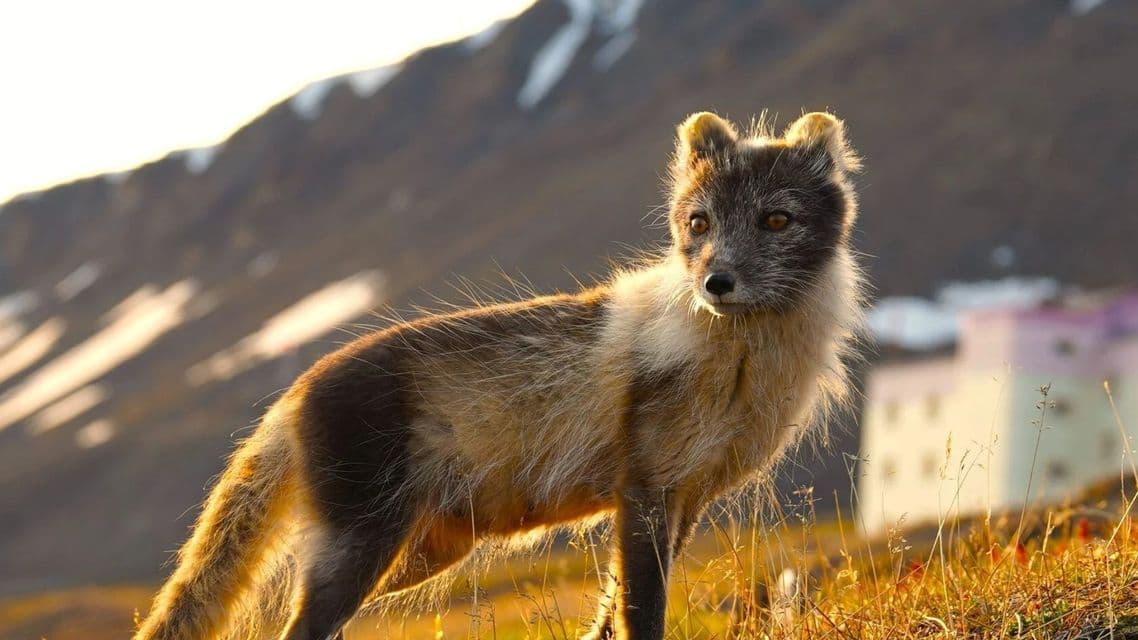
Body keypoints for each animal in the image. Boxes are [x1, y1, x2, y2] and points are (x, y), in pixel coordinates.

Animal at [133, 110, 866, 640]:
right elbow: (642, 613)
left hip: (422, 553)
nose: (716, 282)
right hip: (361, 544)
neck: (741, 365)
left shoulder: (687, 501)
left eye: (776, 219)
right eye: (699, 222)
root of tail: (291, 395)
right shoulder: (646, 491)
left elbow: (609, 613)